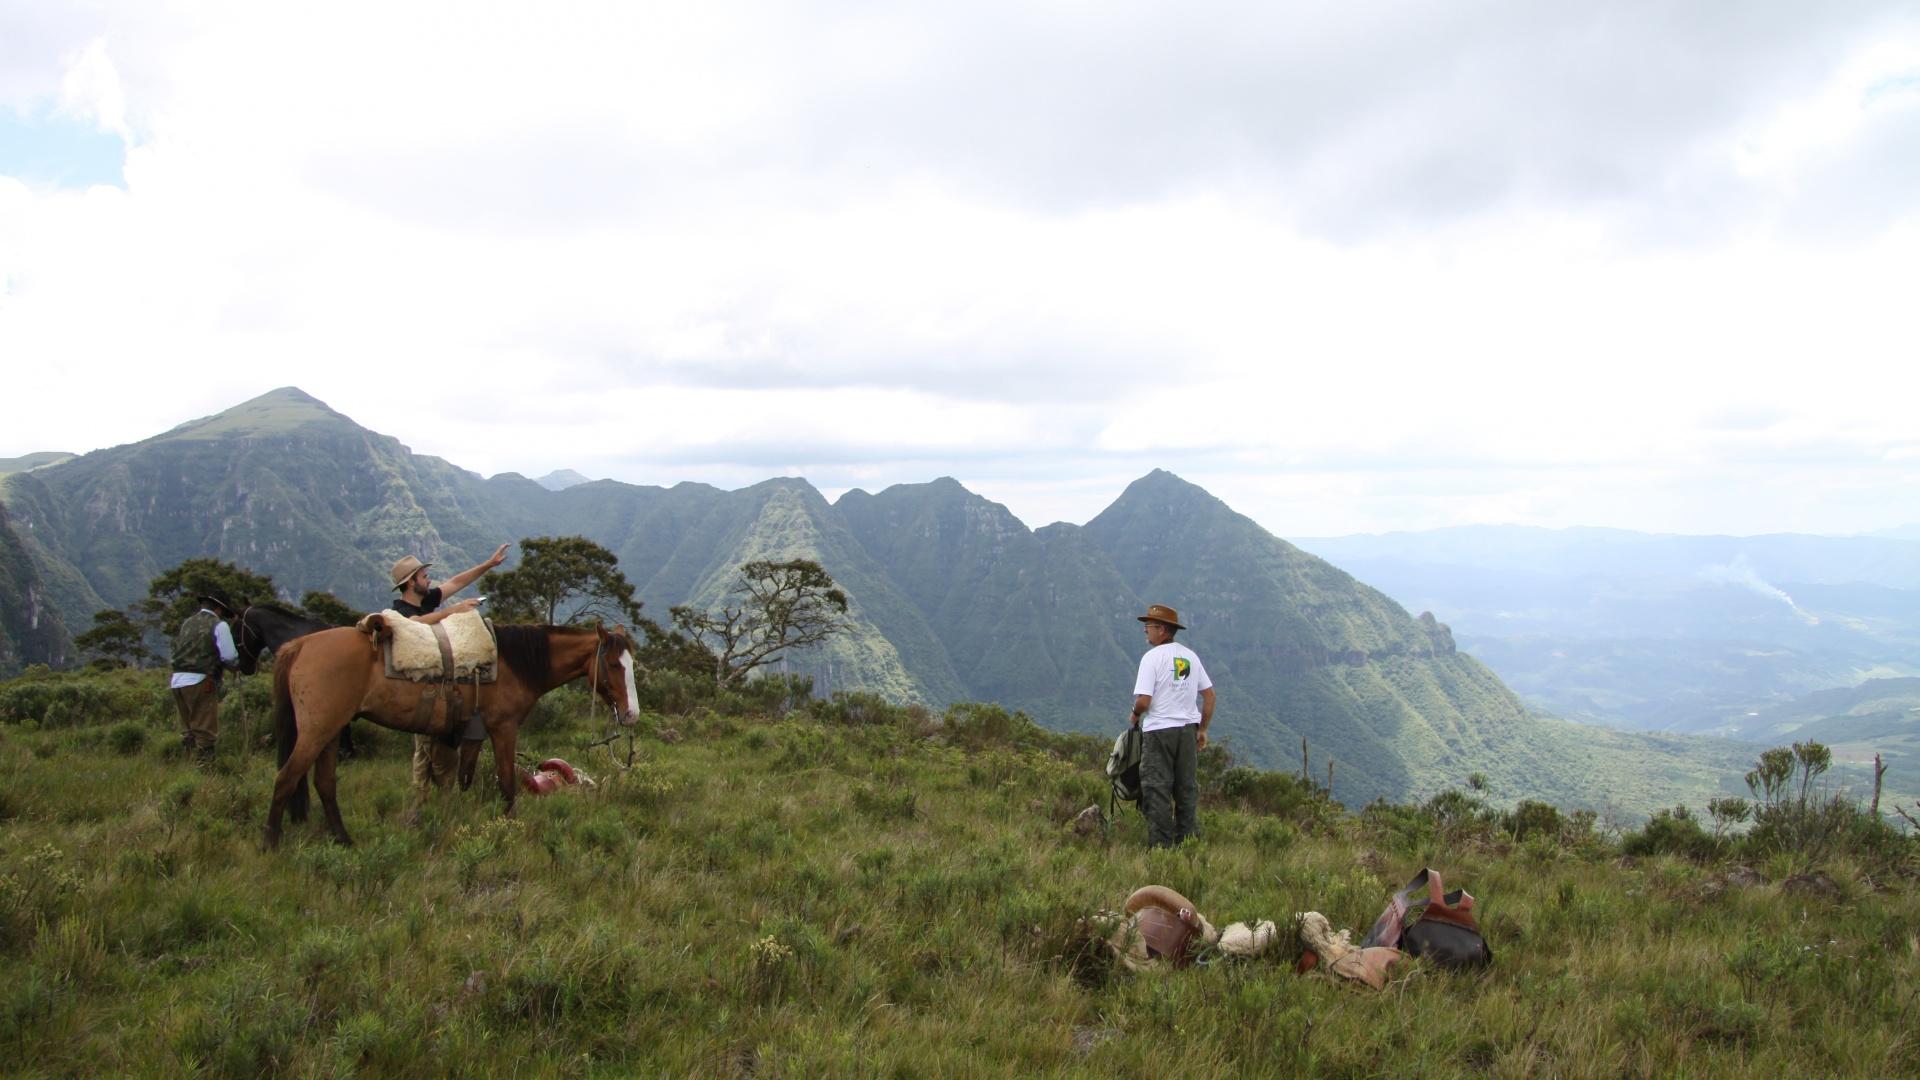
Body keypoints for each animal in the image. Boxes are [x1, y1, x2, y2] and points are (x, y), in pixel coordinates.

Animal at [266, 618, 637, 845]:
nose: (632, 713)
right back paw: (271, 843)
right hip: (317, 730)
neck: (515, 664)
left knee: (324, 783)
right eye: (613, 664)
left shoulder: (471, 734)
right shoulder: (502, 728)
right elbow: (507, 781)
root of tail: (298, 645)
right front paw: (511, 827)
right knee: (285, 778)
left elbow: (464, 780)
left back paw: (344, 840)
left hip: (331, 731)